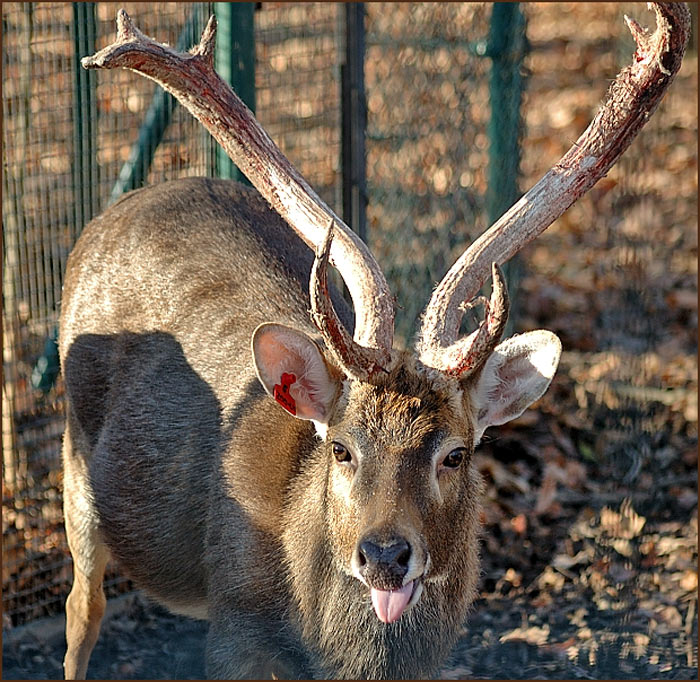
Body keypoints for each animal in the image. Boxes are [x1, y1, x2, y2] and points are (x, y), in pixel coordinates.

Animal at [60, 3, 688, 676]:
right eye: (341, 448)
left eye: (455, 454)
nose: (385, 555)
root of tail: (112, 212)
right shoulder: (234, 627)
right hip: (75, 456)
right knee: (82, 607)